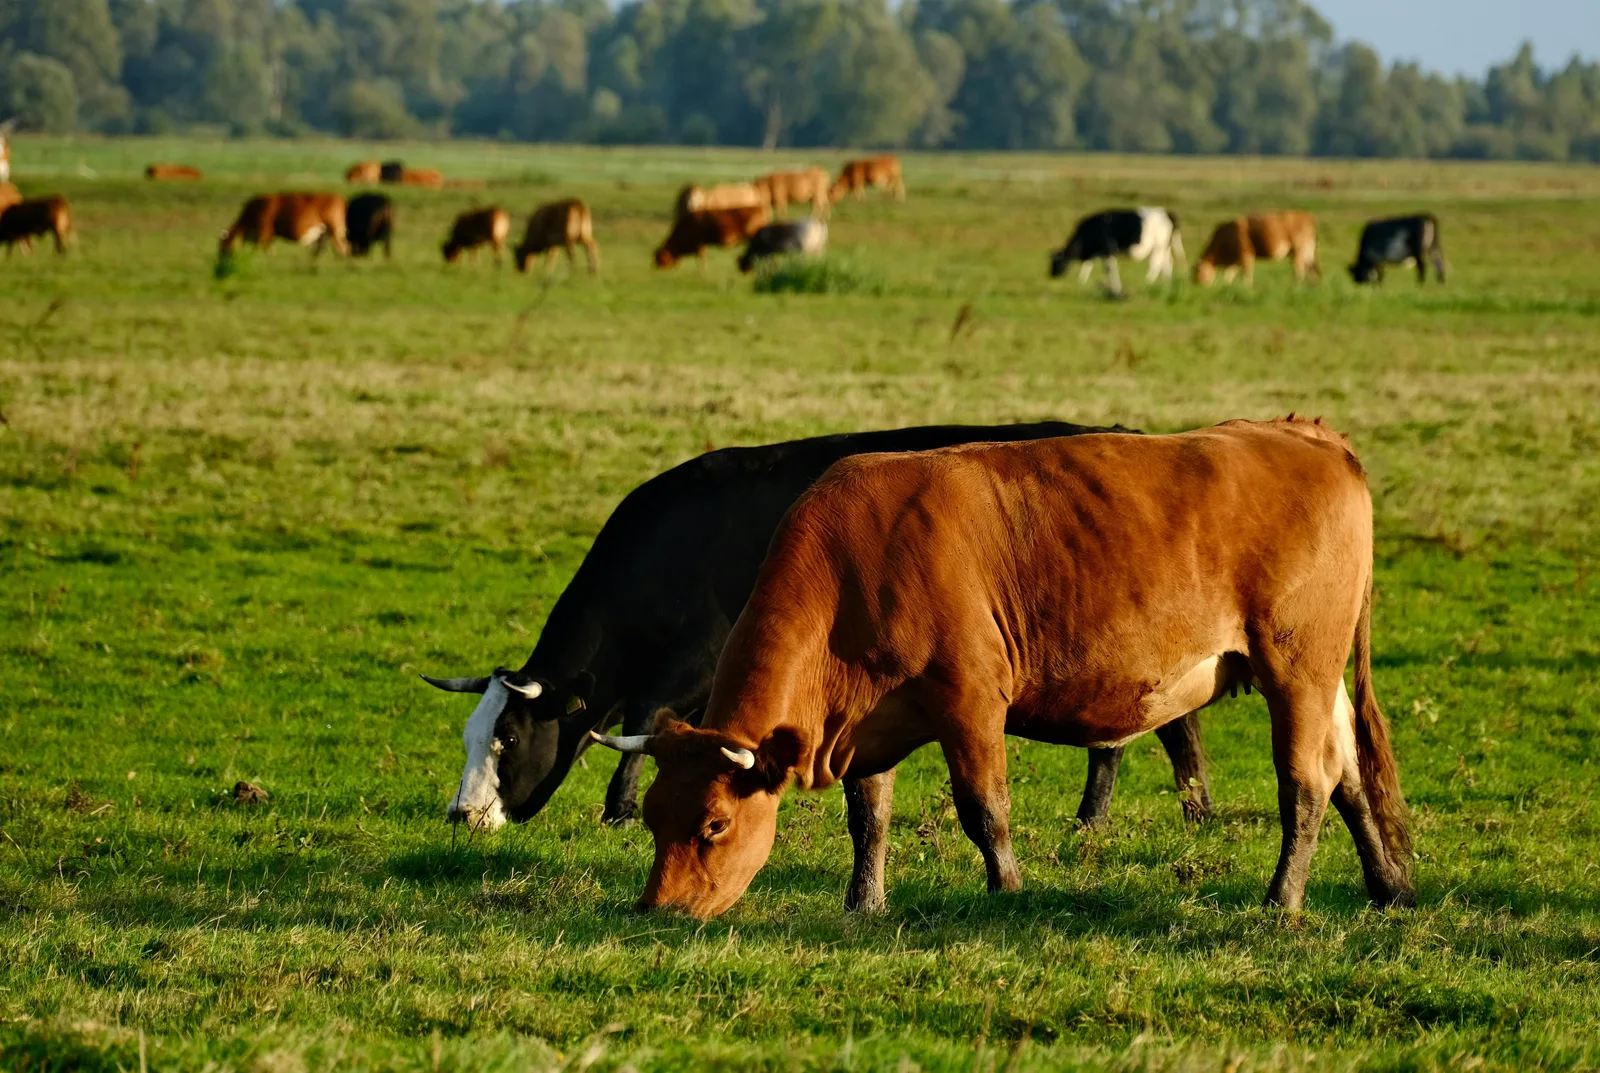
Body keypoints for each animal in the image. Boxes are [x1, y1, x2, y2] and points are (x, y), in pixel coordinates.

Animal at [218, 193, 349, 258]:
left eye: (225, 246)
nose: (221, 259)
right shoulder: (269, 235)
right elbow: (268, 248)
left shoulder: (264, 230)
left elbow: (259, 248)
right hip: (326, 232)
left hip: (335, 228)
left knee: (342, 247)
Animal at [421, 423, 1214, 895]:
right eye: (469, 735)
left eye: (507, 738)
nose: (461, 814)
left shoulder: (694, 663)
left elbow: (644, 723)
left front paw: (616, 809)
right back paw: (1135, 814)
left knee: (1160, 728)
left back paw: (1155, 813)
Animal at [592, 418, 1415, 920]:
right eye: (653, 817)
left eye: (714, 823)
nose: (658, 908)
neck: (856, 564)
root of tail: (1304, 433)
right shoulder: (865, 724)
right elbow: (869, 818)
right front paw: (864, 902)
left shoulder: (971, 700)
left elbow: (984, 808)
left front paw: (1008, 889)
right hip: (1320, 677)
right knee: (1347, 774)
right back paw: (1387, 885)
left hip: (1296, 667)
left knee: (1305, 783)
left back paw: (1283, 898)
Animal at [1049, 209, 1183, 297]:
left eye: (1056, 263)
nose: (1051, 275)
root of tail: (1167, 213)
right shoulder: (1098, 253)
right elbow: (1088, 265)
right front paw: (1081, 281)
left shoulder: (1107, 251)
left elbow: (1110, 269)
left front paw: (1116, 288)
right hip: (1164, 247)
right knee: (1167, 263)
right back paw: (1167, 283)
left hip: (1158, 247)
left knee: (1156, 264)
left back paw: (1147, 282)